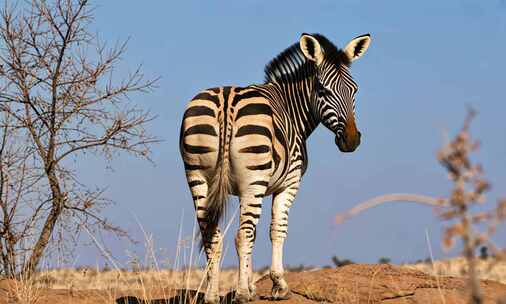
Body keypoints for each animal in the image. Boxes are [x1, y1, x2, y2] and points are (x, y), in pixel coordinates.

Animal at [180, 32, 370, 302]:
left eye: (354, 90)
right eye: (322, 90)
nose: (351, 141)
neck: (291, 108)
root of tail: (226, 101)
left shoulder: (239, 189)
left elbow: (256, 233)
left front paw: (250, 285)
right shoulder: (288, 184)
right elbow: (277, 230)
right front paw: (277, 285)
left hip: (197, 176)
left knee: (212, 235)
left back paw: (212, 295)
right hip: (254, 178)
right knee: (243, 234)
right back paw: (241, 295)